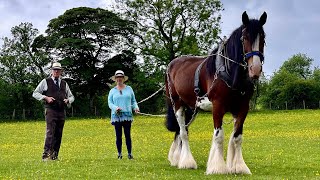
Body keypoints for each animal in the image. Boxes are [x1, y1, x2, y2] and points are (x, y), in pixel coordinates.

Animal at [165, 11, 268, 174]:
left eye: (263, 38)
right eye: (245, 37)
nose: (255, 69)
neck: (230, 73)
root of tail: (171, 65)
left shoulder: (242, 108)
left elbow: (237, 137)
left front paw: (238, 166)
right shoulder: (218, 106)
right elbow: (219, 137)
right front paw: (218, 167)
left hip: (192, 109)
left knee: (181, 131)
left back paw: (176, 159)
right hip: (178, 104)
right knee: (183, 132)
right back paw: (187, 162)